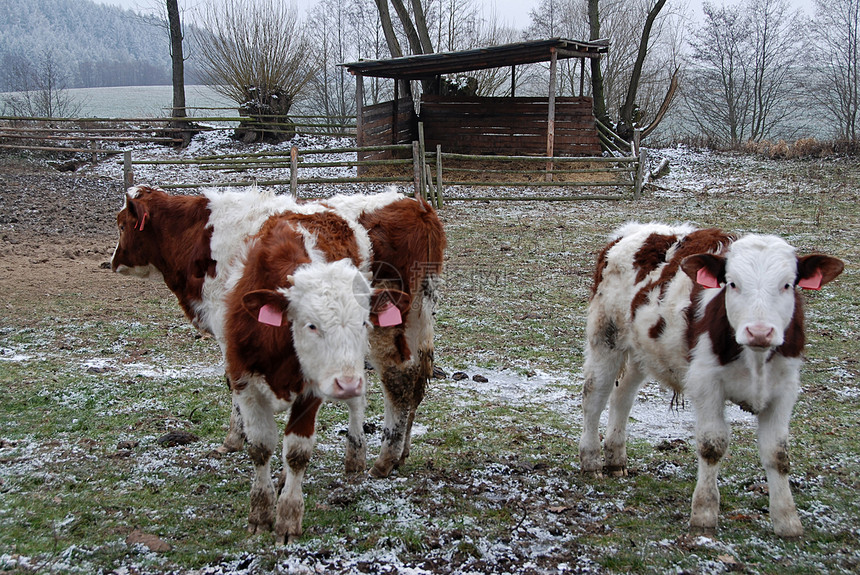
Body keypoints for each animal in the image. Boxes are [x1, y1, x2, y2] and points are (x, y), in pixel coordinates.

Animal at [580, 223, 844, 536]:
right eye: (732, 283)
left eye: (787, 284)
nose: (759, 331)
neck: (754, 359)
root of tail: (636, 231)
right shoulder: (707, 384)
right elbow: (712, 446)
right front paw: (704, 513)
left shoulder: (784, 389)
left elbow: (778, 454)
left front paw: (787, 521)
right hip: (605, 337)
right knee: (594, 397)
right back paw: (591, 461)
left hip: (642, 350)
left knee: (623, 396)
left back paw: (616, 459)